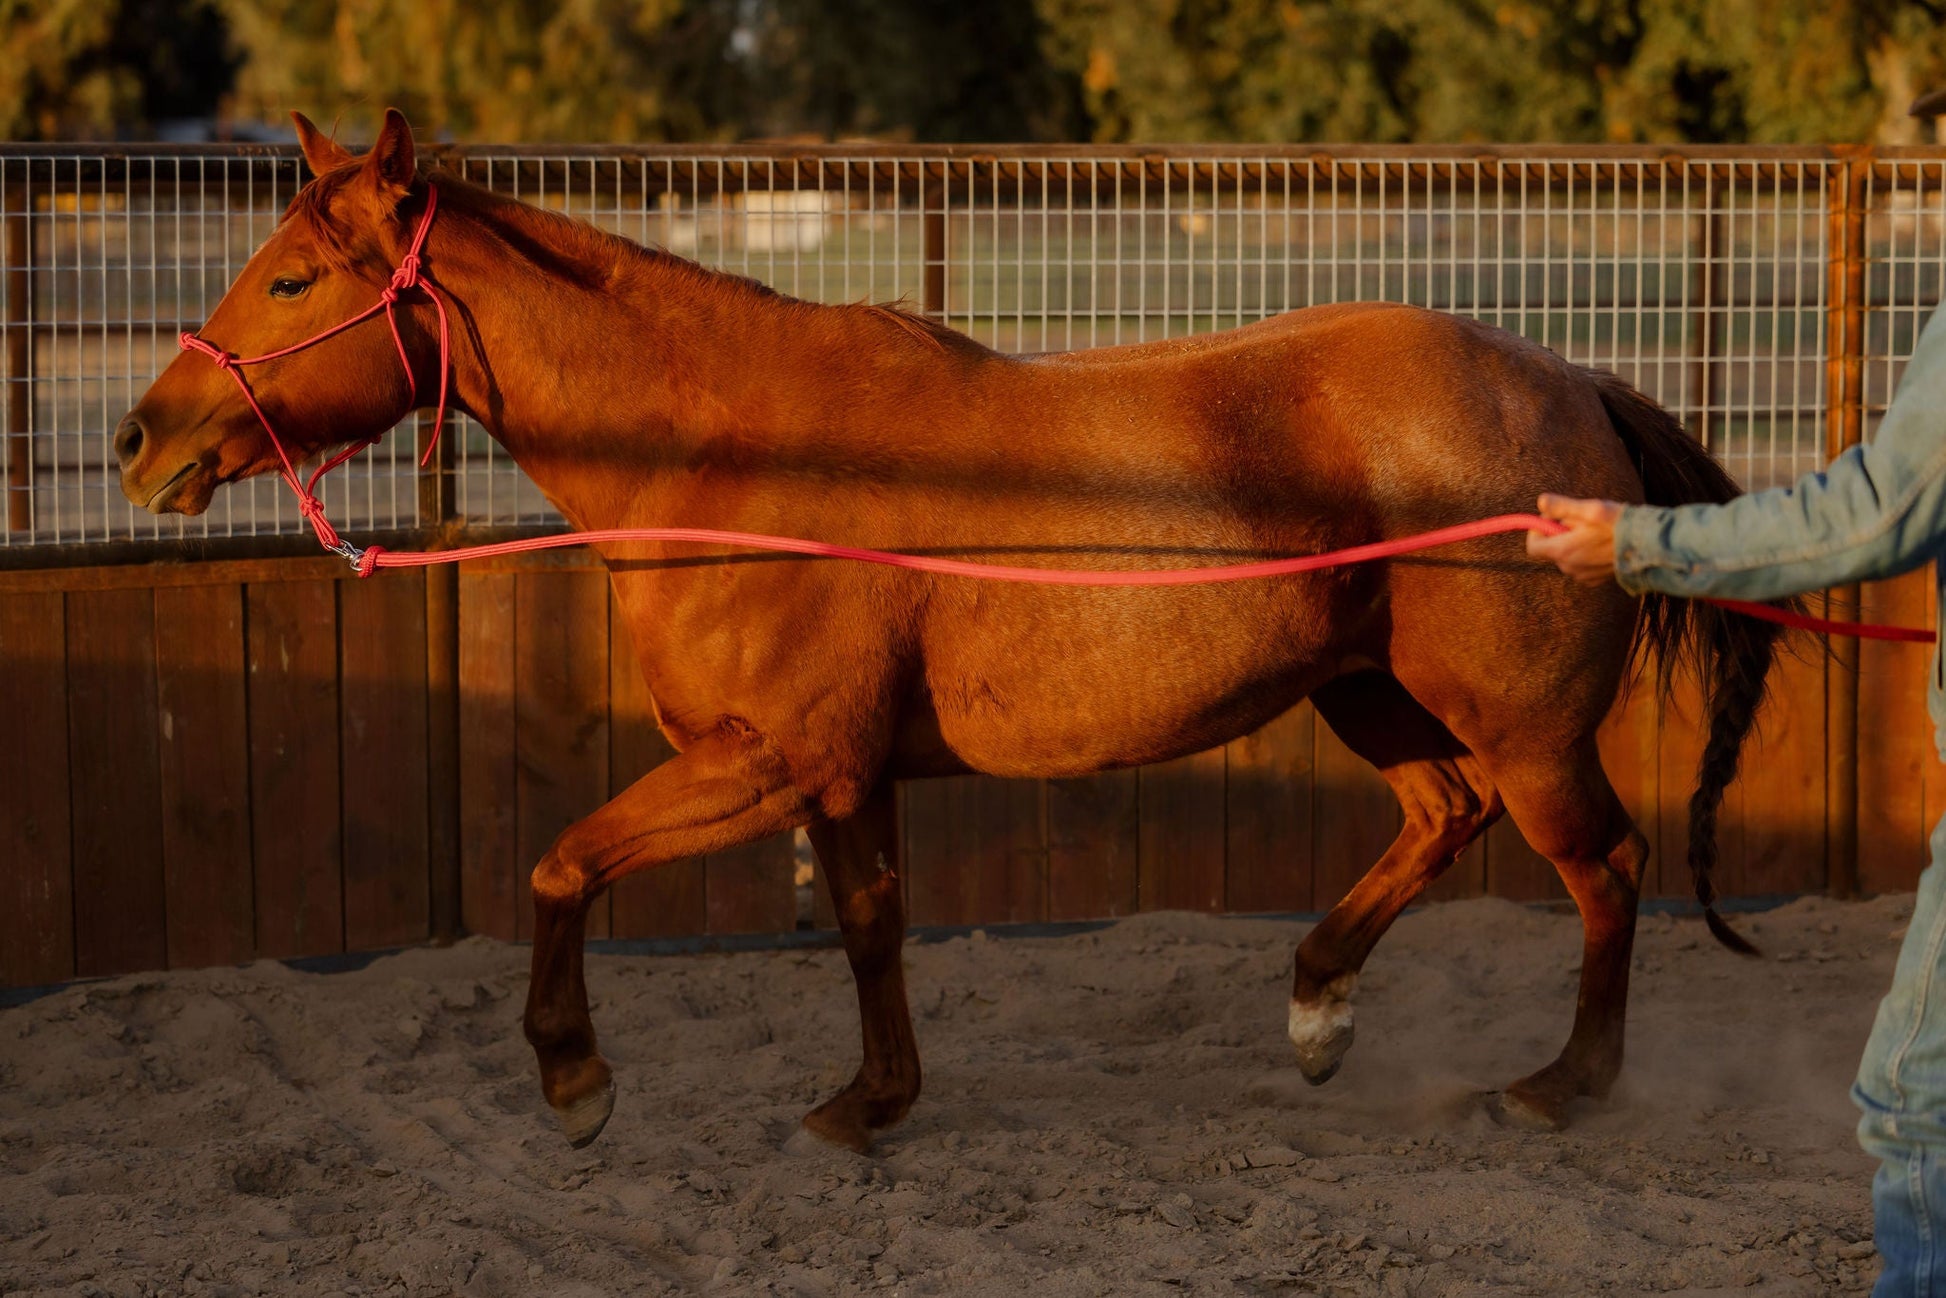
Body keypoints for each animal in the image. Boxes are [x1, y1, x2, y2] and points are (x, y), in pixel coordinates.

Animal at [116, 109, 1780, 1154]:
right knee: (1442, 817)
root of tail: (1572, 384)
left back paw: (1561, 1086)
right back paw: (1315, 1009)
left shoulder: (768, 759)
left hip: (1520, 726)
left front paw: (578, 1083)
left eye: (291, 275)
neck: (739, 458)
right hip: (1367, 693)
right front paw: (871, 1102)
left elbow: (561, 866)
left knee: (1603, 868)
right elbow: (869, 926)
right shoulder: (845, 773)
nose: (142, 440)